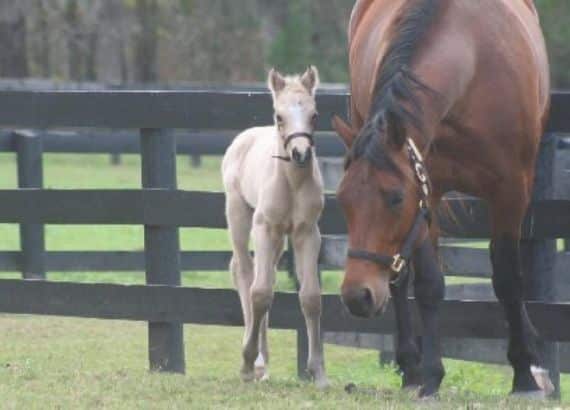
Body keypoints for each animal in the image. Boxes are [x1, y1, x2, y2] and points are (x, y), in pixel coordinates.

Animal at [222, 67, 328, 388]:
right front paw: (246, 363)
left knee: (262, 273)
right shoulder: (265, 227)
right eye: (279, 116)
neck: (292, 182)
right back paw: (254, 362)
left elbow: (310, 297)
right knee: (245, 272)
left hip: (280, 236)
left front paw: (318, 373)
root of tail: (244, 137)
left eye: (314, 115)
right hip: (241, 216)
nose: (300, 153)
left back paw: (263, 364)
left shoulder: (307, 232)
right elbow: (259, 293)